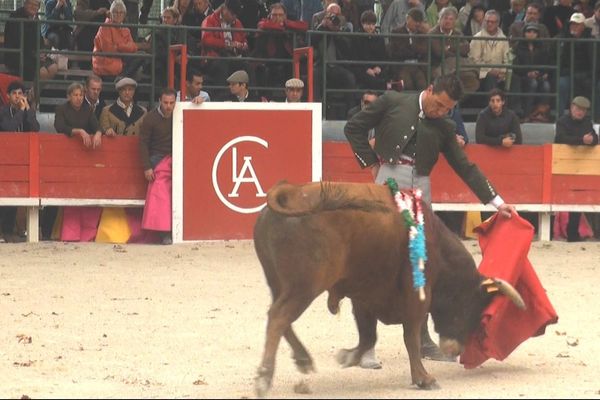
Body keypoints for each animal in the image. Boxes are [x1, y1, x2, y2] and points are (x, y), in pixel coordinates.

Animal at [253, 181, 524, 396]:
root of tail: (291, 193)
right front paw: (424, 378)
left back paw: (303, 360)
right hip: (305, 287)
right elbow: (410, 336)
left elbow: (368, 335)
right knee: (279, 317)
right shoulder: (416, 297)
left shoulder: (364, 295)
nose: (455, 349)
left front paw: (348, 357)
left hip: (279, 283)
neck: (435, 243)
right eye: (471, 308)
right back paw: (265, 378)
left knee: (277, 316)